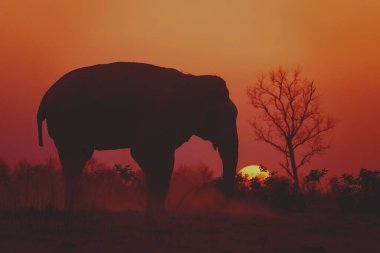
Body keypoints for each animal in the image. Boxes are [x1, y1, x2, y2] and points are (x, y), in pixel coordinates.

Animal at [35, 62, 238, 212]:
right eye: (224, 116)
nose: (220, 203)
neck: (193, 80)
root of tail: (45, 97)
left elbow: (166, 159)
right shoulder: (159, 115)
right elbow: (144, 152)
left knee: (74, 163)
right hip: (67, 123)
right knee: (75, 160)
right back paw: (71, 211)